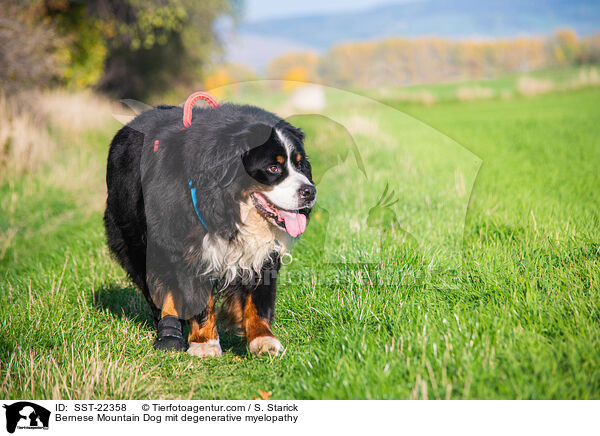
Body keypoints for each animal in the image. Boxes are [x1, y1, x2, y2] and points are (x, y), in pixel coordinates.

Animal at [103, 99, 316, 358]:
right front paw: (204, 344)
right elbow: (198, 297)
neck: (227, 206)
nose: (310, 191)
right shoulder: (187, 246)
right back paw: (169, 331)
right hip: (137, 243)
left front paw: (263, 339)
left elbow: (258, 299)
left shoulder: (263, 252)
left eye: (300, 165)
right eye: (273, 168)